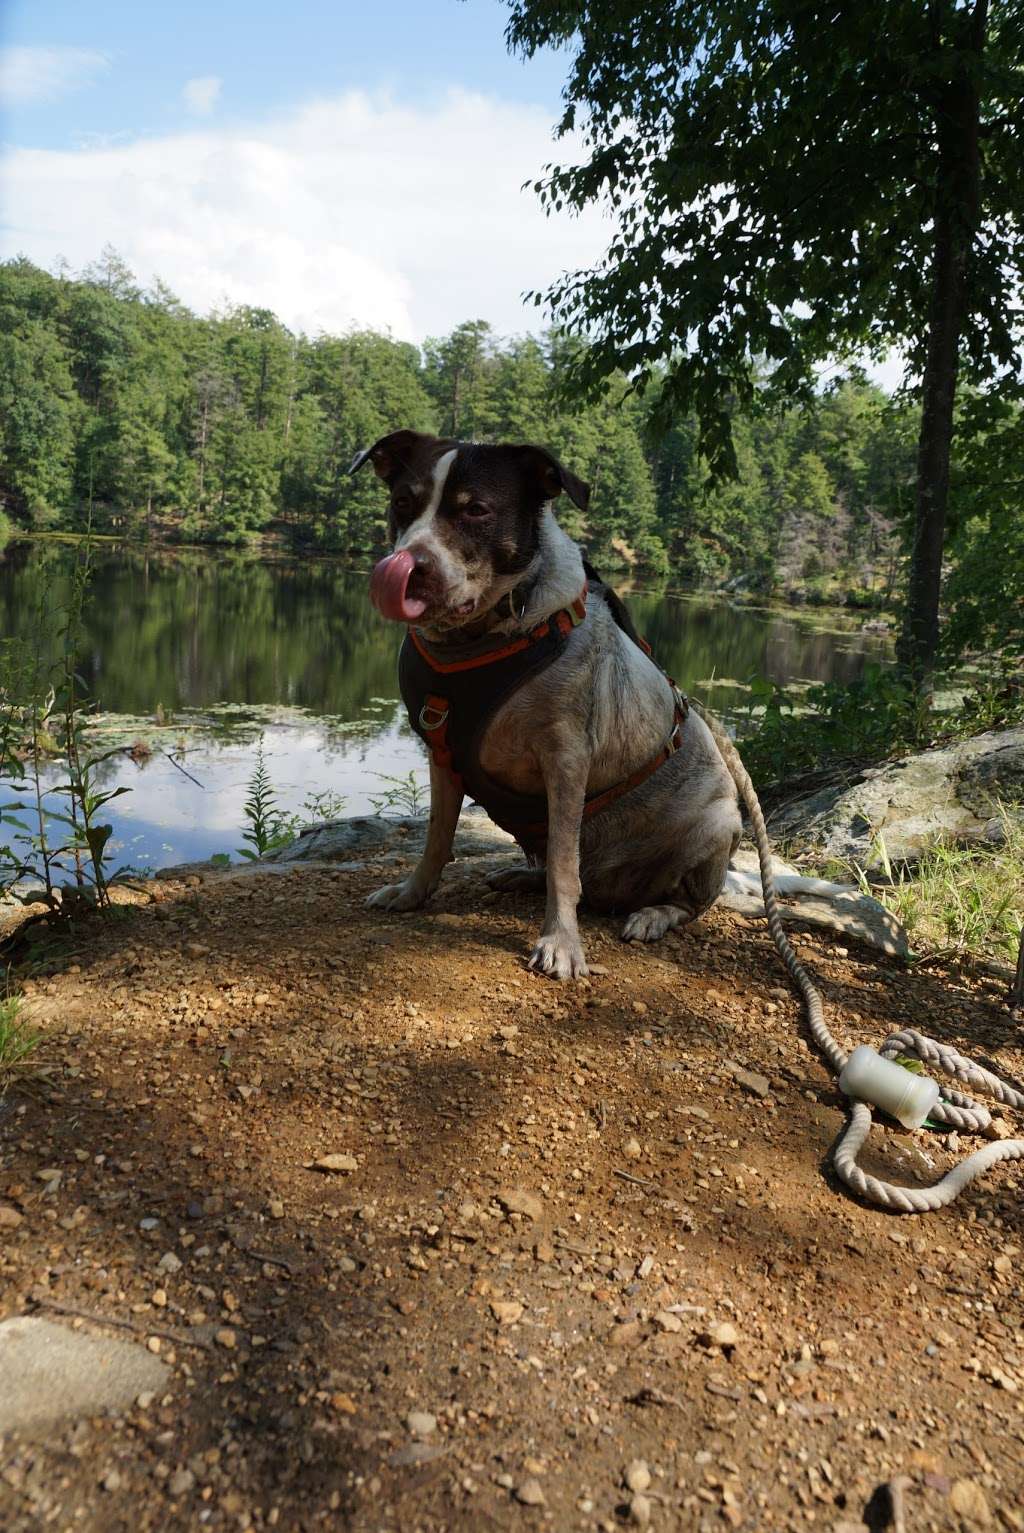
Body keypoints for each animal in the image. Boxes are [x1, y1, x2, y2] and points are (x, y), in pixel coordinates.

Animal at [347, 429, 738, 981]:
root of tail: (617, 890)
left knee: (684, 902)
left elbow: (562, 867)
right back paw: (520, 876)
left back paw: (652, 914)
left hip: (716, 826)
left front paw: (561, 943)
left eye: (477, 510)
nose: (410, 566)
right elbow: (437, 836)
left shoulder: (567, 760)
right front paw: (411, 892)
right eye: (403, 502)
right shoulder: (441, 753)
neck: (482, 638)